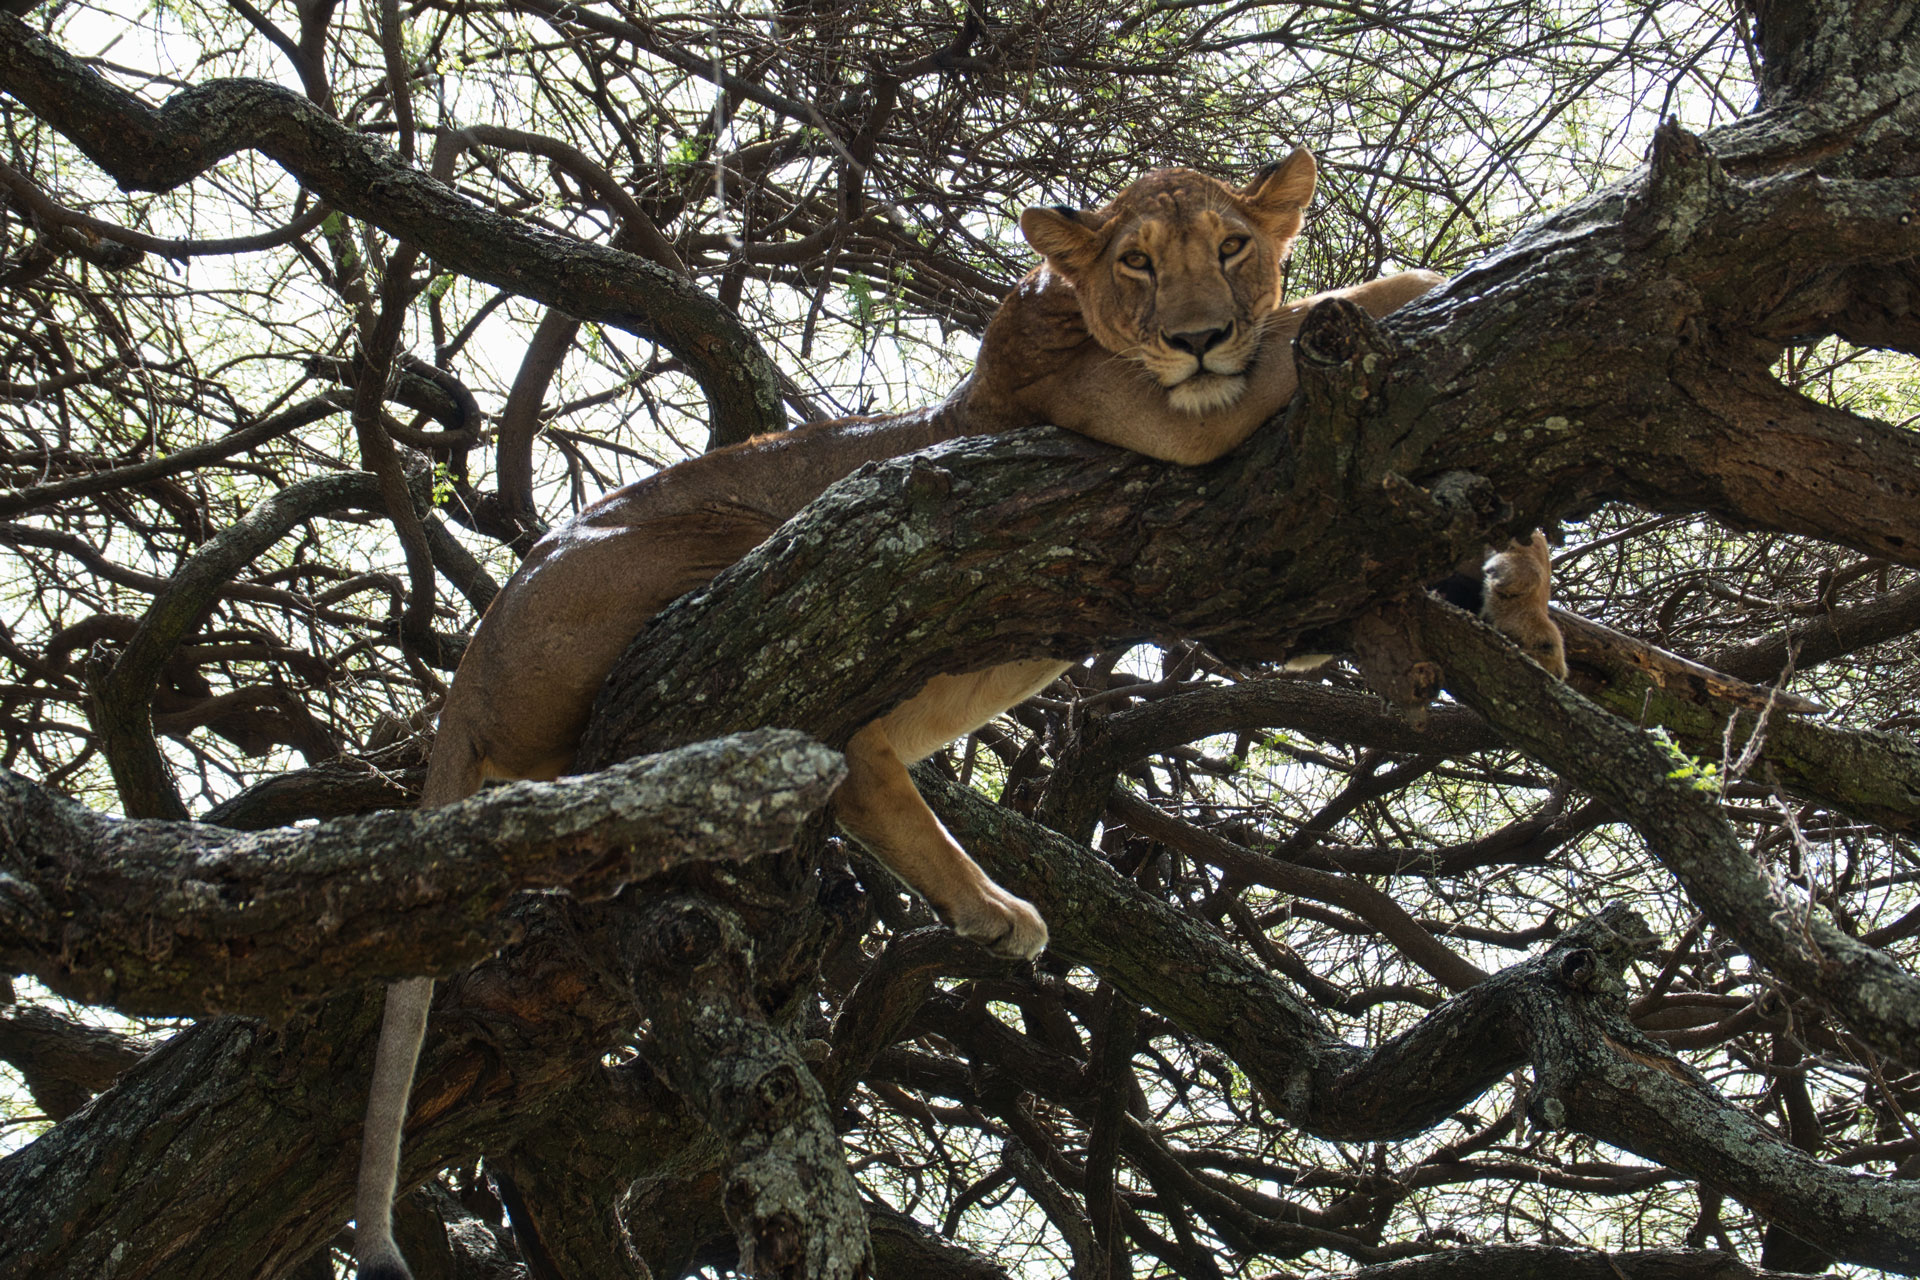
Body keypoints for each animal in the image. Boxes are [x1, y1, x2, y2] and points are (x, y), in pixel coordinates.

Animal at [353, 149, 1516, 1278]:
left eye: (1232, 246)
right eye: (1137, 262)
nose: (1197, 336)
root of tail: (469, 667)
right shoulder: (1169, 420)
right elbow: (1307, 323)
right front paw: (1427, 285)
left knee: (857, 771)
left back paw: (988, 906)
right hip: (727, 543)